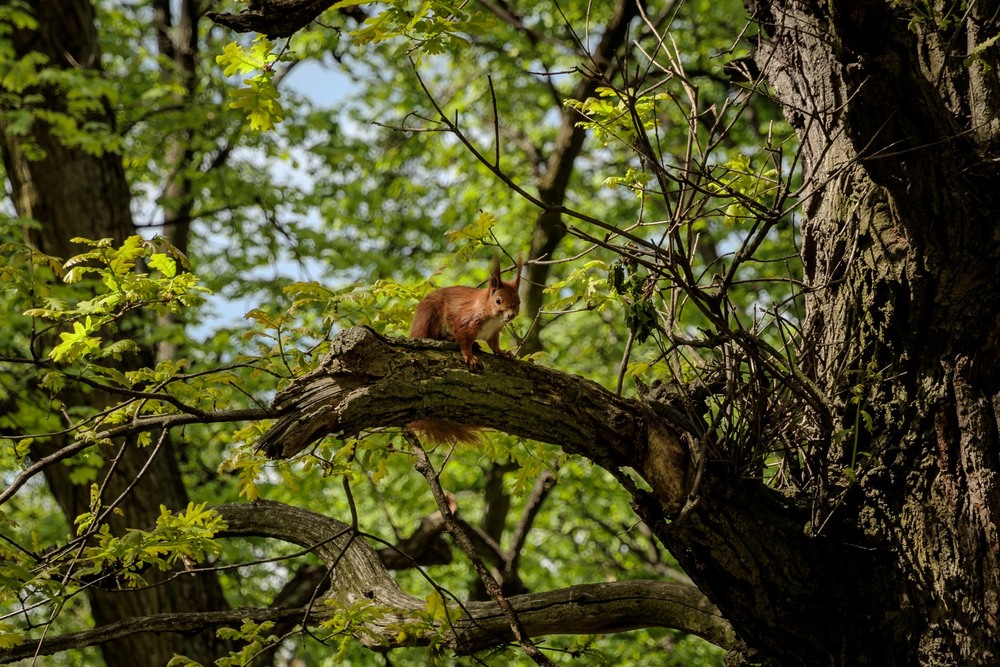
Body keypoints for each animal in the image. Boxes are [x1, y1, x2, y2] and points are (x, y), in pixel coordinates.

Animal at [406, 258, 524, 446]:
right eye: (498, 300)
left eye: (519, 301)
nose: (510, 316)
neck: (492, 316)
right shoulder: (466, 322)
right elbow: (463, 340)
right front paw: (469, 356)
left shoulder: (494, 332)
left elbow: (494, 346)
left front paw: (503, 353)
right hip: (431, 316)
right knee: (433, 335)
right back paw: (450, 339)